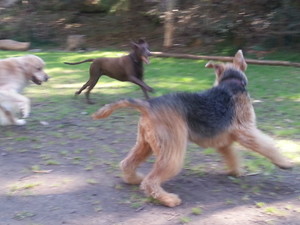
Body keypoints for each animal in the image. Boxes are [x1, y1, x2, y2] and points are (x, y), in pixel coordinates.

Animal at [92, 50, 292, 207]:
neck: (231, 83)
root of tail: (148, 105)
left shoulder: (224, 141)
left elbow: (232, 156)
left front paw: (236, 171)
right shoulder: (246, 130)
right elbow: (268, 145)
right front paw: (285, 162)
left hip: (145, 144)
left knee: (127, 164)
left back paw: (134, 179)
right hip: (172, 151)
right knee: (151, 181)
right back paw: (169, 199)